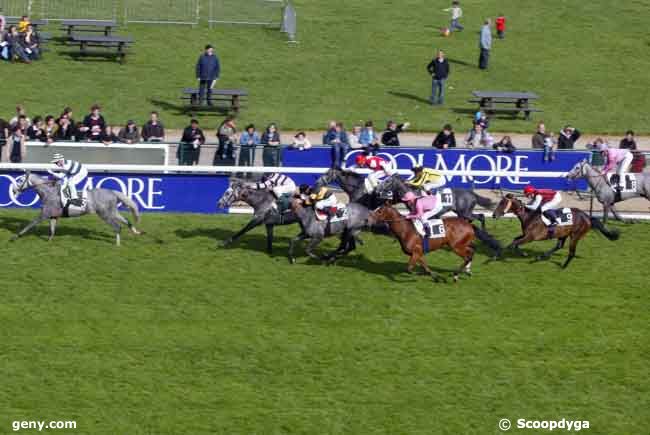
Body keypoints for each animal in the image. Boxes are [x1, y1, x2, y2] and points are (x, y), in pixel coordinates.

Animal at [8, 171, 141, 245]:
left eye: (20, 180)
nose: (14, 190)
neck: (49, 192)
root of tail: (112, 192)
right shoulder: (53, 216)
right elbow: (52, 230)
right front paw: (49, 241)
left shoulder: (44, 214)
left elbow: (29, 225)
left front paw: (15, 237)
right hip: (112, 212)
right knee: (126, 221)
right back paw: (136, 231)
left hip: (104, 214)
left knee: (117, 226)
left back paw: (117, 244)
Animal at [368, 206, 498, 284]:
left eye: (379, 211)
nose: (368, 220)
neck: (406, 230)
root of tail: (469, 224)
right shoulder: (418, 253)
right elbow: (425, 266)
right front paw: (435, 277)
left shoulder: (416, 252)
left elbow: (409, 269)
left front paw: (418, 274)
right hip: (463, 244)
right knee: (472, 252)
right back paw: (467, 271)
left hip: (456, 246)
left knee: (467, 257)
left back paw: (456, 275)